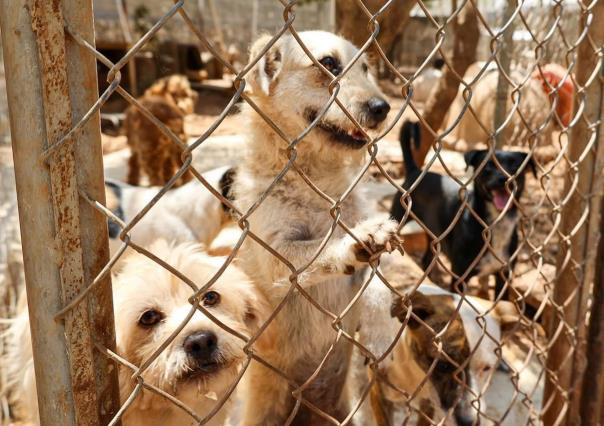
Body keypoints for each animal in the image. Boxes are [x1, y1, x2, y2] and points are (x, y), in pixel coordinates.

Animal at [235, 31, 402, 424]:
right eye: (328, 64)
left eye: (366, 68)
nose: (383, 107)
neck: (315, 179)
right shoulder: (278, 255)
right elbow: (320, 247)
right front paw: (355, 242)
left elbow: (377, 288)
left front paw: (381, 334)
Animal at [358, 278, 520, 424]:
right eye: (443, 365)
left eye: (486, 368)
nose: (470, 422)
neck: (413, 371)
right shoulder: (378, 395)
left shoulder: (428, 405)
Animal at [390, 120, 536, 300]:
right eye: (488, 165)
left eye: (515, 165)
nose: (504, 179)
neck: (495, 223)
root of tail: (415, 171)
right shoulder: (459, 278)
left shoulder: (504, 275)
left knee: (426, 260)